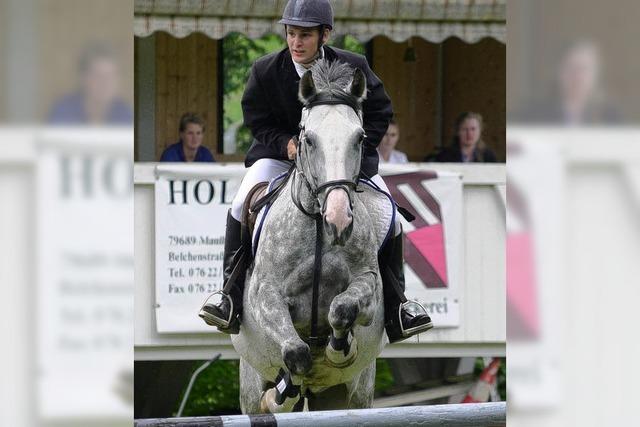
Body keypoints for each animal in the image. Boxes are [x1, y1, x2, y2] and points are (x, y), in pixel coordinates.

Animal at [229, 60, 390, 414]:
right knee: (268, 391)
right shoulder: (265, 295)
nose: (338, 218)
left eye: (359, 138)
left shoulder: (368, 282)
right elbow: (295, 353)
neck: (317, 225)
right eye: (309, 139)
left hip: (355, 393)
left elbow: (343, 308)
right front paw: (285, 386)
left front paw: (339, 349)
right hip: (249, 381)